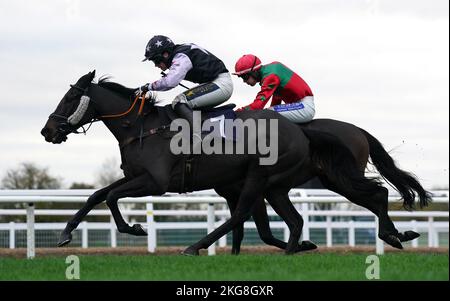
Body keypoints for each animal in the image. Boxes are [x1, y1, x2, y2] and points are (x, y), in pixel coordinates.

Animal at [41, 71, 428, 253]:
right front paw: (65, 233)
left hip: (278, 177)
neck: (143, 127)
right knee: (300, 217)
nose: (48, 130)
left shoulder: (157, 182)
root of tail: (302, 133)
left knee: (375, 195)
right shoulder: (138, 177)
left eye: (70, 98)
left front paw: (134, 229)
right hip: (285, 184)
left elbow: (109, 197)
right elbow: (97, 195)